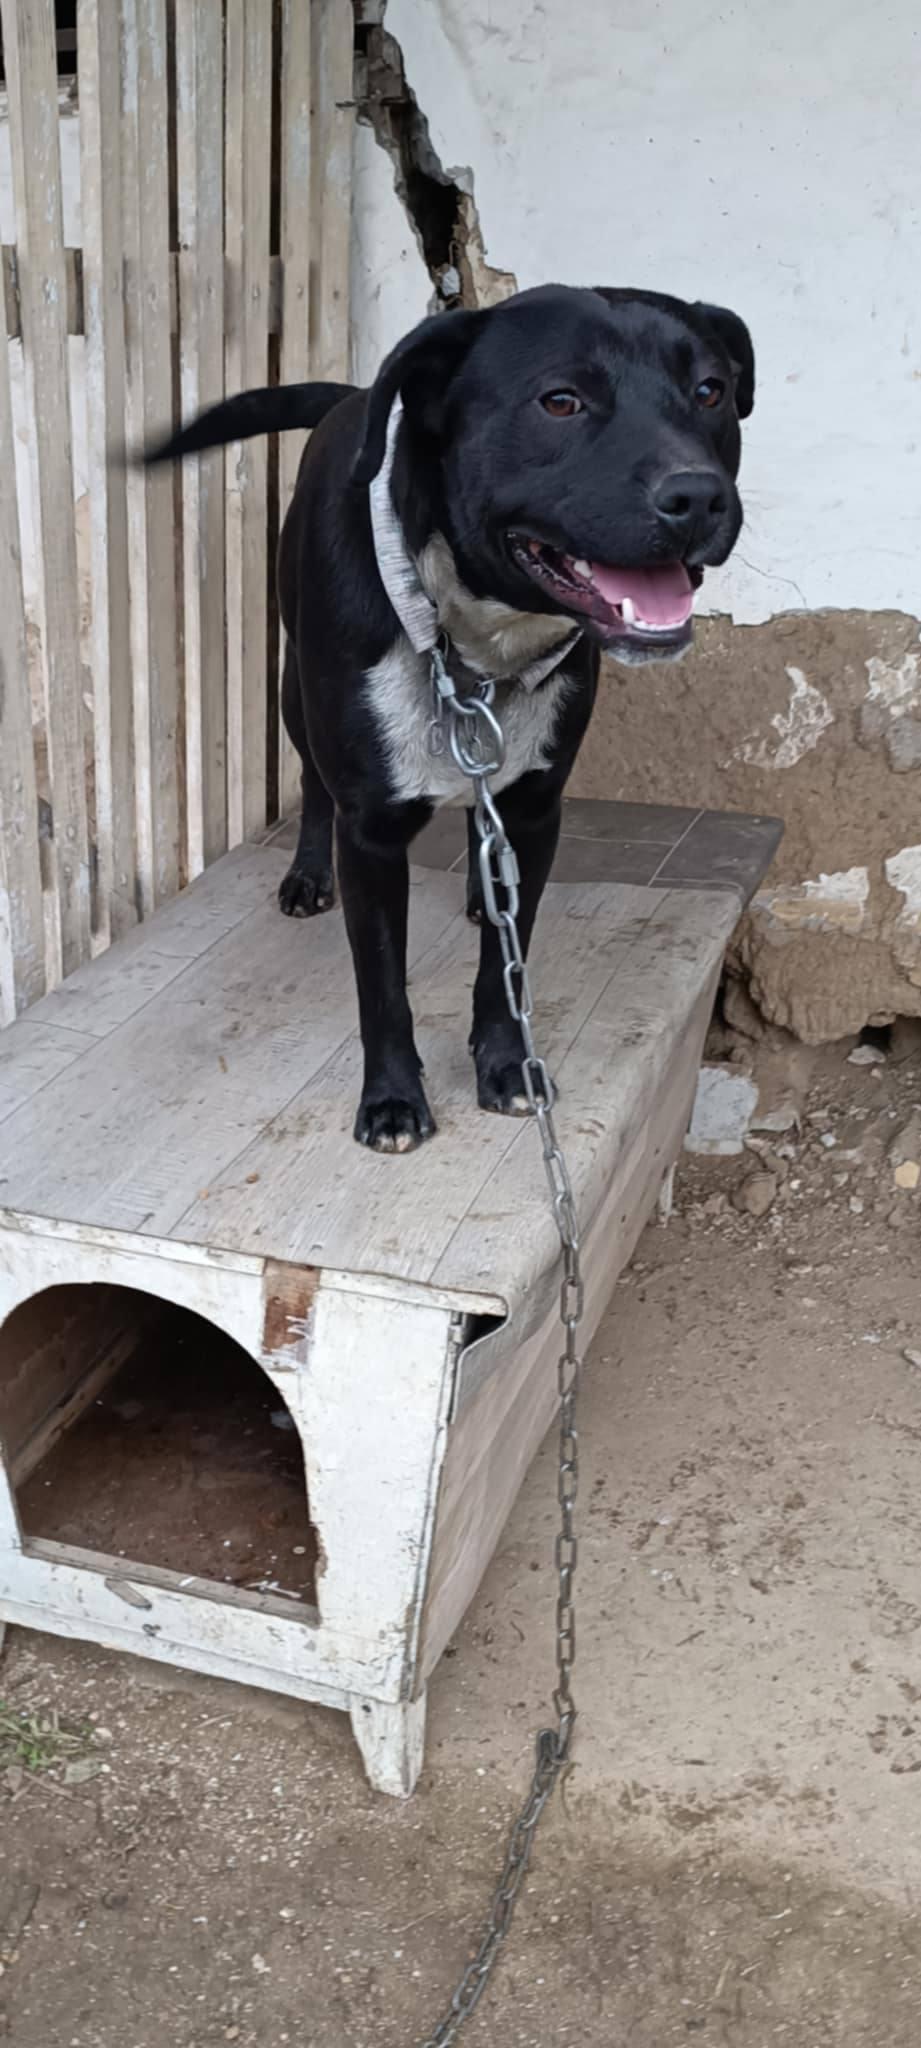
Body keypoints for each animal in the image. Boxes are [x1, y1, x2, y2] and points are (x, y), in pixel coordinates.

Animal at [149, 284, 754, 1153]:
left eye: (710, 391)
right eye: (559, 401)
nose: (699, 496)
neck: (476, 641)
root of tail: (355, 397)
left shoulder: (536, 811)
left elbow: (508, 968)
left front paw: (506, 1066)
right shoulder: (370, 837)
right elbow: (381, 986)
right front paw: (392, 1100)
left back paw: (478, 885)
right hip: (296, 690)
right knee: (313, 784)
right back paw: (307, 874)